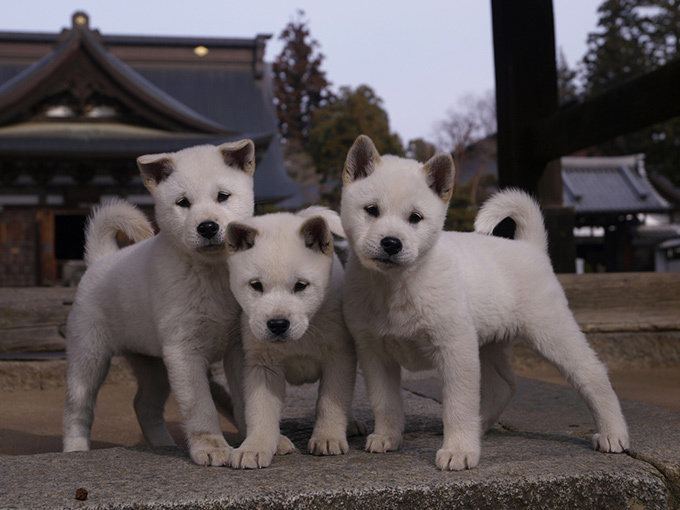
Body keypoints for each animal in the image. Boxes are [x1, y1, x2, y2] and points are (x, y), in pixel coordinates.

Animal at [63, 140, 255, 466]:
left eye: (223, 196)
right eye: (183, 203)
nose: (207, 227)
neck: (211, 275)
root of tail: (100, 260)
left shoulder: (238, 349)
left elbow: (248, 400)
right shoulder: (183, 350)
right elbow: (200, 406)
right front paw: (211, 447)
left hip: (153, 364)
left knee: (144, 405)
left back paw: (164, 445)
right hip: (88, 355)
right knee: (78, 407)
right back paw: (74, 451)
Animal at [226, 209, 364, 468]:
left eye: (301, 286)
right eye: (256, 286)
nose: (278, 324)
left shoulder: (339, 356)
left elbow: (331, 401)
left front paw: (328, 437)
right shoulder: (262, 365)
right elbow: (260, 410)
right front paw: (255, 447)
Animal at [342, 134, 628, 470]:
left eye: (415, 218)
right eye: (371, 210)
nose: (391, 243)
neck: (396, 287)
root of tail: (531, 247)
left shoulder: (456, 348)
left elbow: (459, 405)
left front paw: (459, 450)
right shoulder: (374, 353)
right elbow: (384, 401)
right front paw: (388, 436)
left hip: (552, 332)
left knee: (593, 373)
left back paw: (613, 433)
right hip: (489, 344)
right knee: (505, 386)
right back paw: (480, 427)